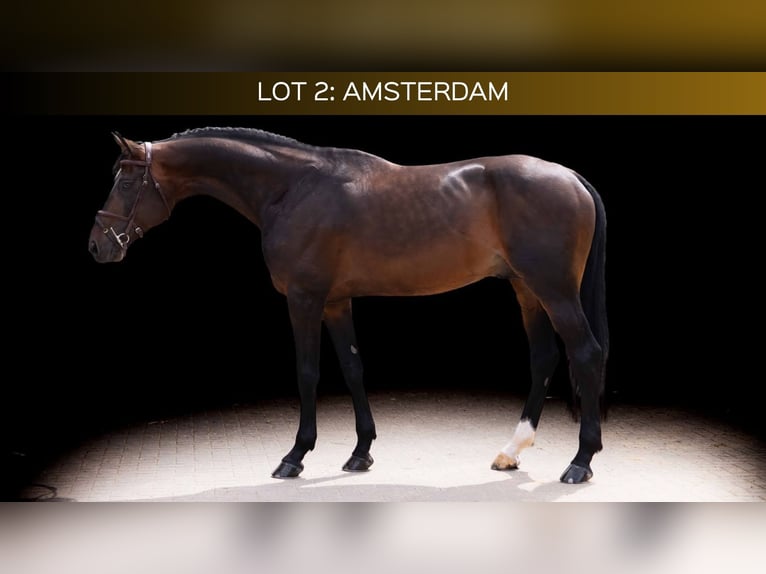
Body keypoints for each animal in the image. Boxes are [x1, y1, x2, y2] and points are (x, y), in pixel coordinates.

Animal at [89, 127, 608, 484]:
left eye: (127, 183)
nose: (99, 245)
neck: (292, 187)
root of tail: (571, 177)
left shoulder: (304, 298)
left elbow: (308, 373)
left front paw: (294, 457)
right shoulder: (337, 302)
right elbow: (353, 368)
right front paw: (361, 452)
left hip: (554, 291)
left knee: (586, 354)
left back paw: (581, 461)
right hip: (526, 289)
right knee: (544, 358)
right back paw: (512, 451)